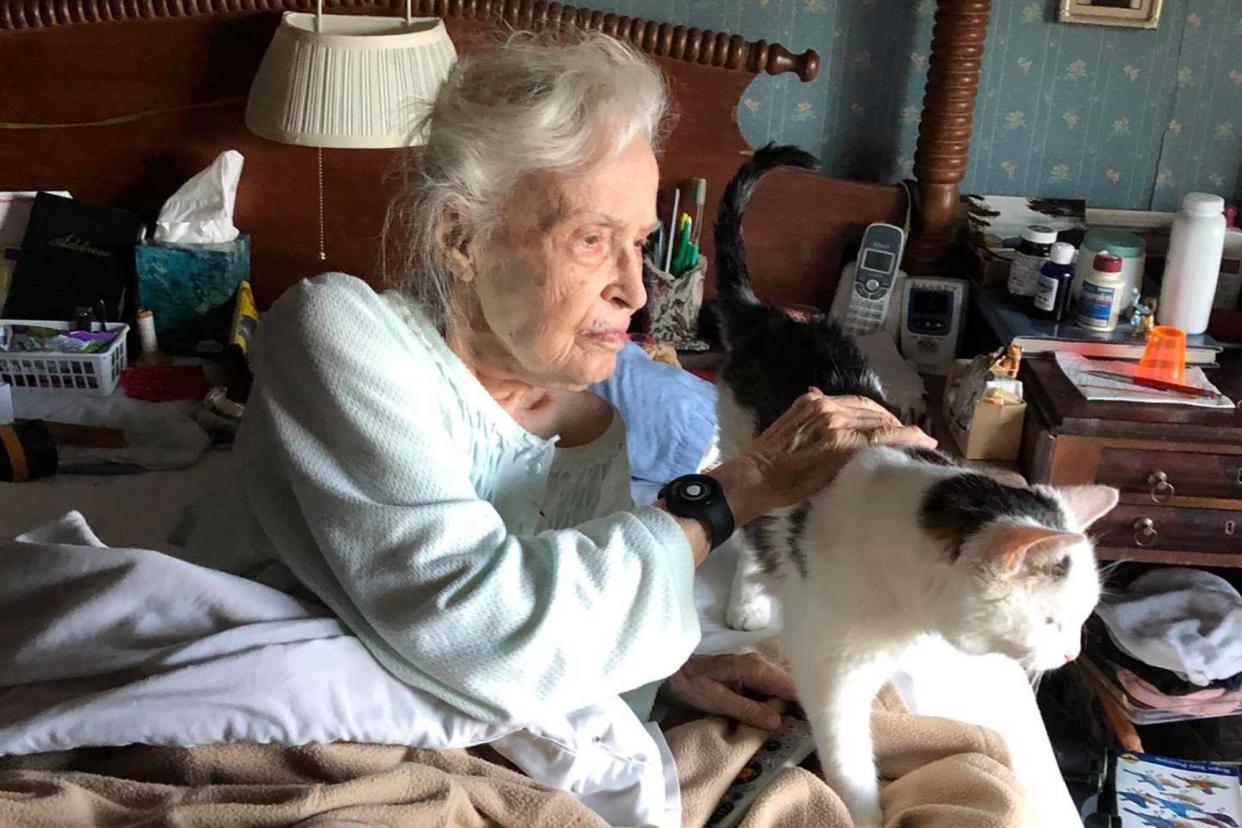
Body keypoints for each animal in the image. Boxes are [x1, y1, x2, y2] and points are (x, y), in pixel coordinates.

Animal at [715, 144, 1122, 828]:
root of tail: (773, 318)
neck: (909, 603)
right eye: (1050, 621)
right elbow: (852, 771)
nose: (1069, 659)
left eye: (1085, 619)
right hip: (746, 454)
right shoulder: (832, 674)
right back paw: (748, 598)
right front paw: (866, 810)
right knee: (749, 533)